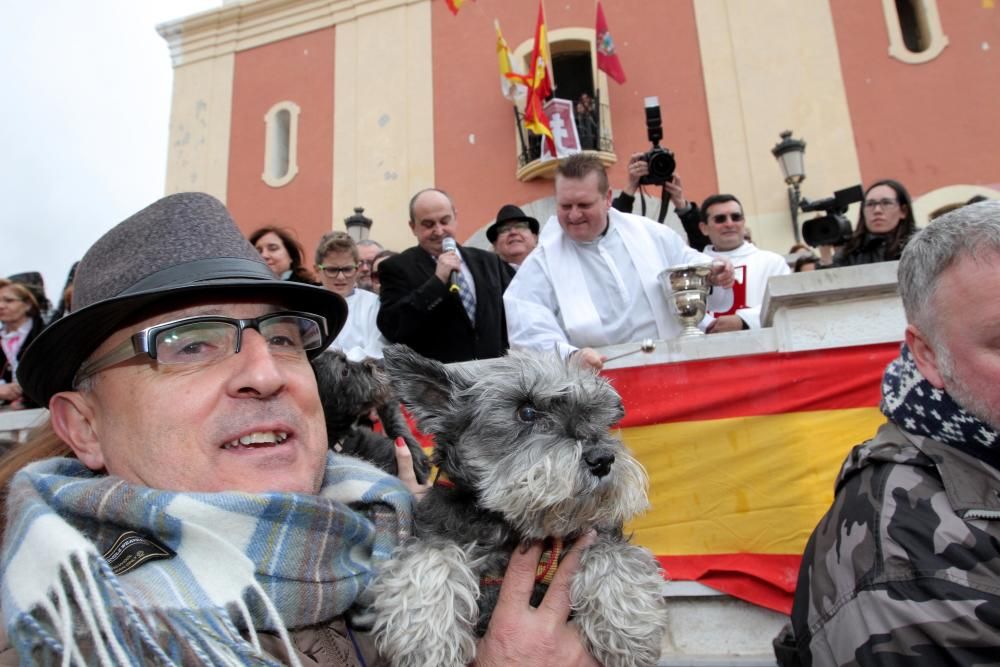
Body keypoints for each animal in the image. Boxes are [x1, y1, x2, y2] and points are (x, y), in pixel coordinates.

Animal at [372, 344, 668, 667]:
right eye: (526, 411)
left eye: (594, 413)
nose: (602, 459)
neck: (513, 527)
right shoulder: (436, 532)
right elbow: (431, 558)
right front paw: (428, 642)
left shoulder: (598, 533)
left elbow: (613, 554)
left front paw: (628, 631)